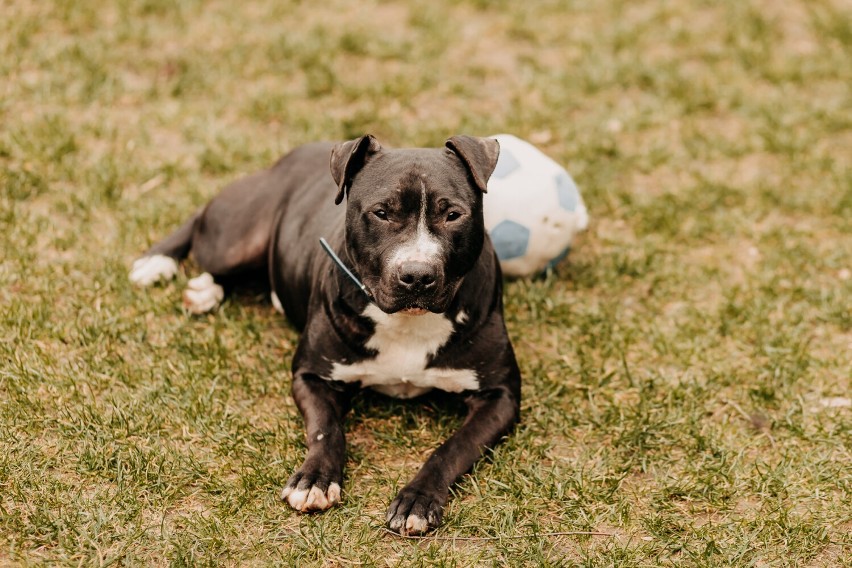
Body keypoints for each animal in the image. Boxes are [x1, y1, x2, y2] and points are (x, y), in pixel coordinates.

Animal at [131, 135, 524, 536]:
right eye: (382, 213)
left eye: (453, 214)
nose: (417, 275)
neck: (407, 323)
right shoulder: (311, 375)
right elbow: (326, 429)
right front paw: (315, 479)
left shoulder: (501, 396)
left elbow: (453, 447)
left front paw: (419, 498)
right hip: (235, 240)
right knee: (201, 225)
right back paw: (160, 263)